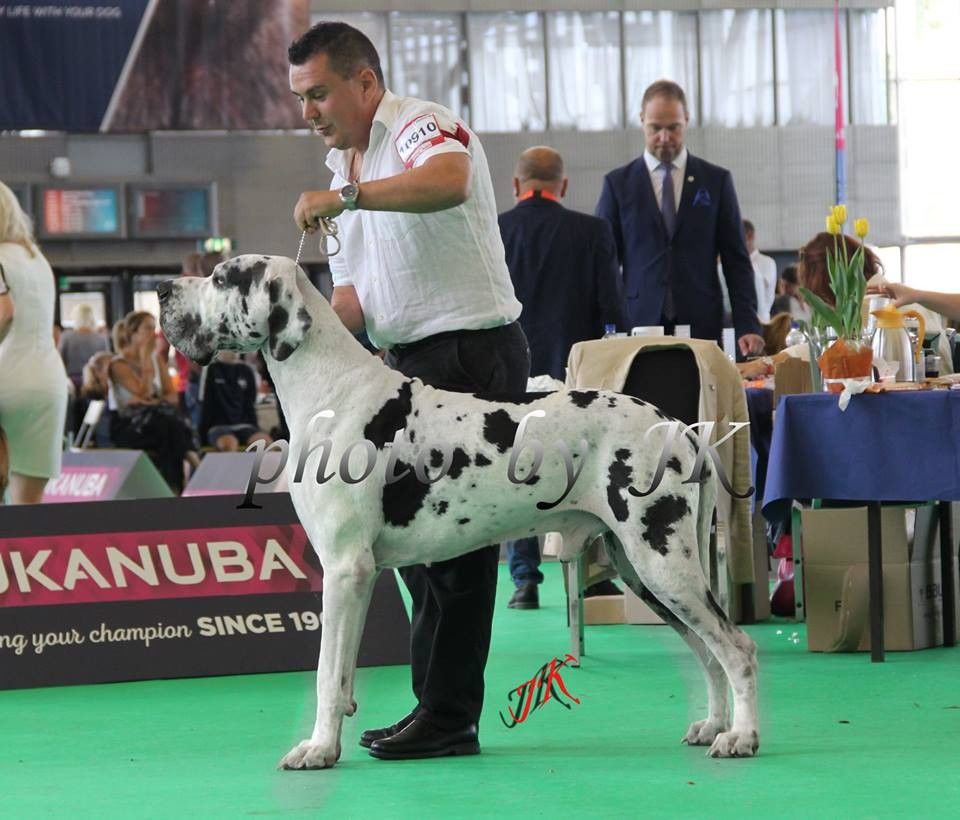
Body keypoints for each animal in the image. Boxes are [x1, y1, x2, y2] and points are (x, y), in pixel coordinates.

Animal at [158, 254, 759, 769]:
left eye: (219, 277)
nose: (161, 288)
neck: (332, 387)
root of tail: (679, 427)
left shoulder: (345, 568)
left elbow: (327, 675)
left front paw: (319, 748)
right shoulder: (357, 574)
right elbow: (343, 671)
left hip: (663, 561)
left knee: (737, 647)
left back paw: (743, 736)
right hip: (643, 571)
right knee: (709, 652)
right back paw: (713, 724)